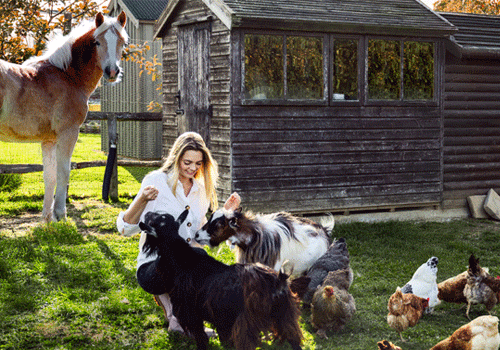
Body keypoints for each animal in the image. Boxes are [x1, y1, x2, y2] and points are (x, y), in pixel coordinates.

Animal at [0, 10, 128, 221]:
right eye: (97, 42)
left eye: (122, 42)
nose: (112, 71)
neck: (67, 76)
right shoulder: (68, 133)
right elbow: (63, 172)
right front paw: (60, 215)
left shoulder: (49, 140)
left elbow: (50, 176)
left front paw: (47, 218)